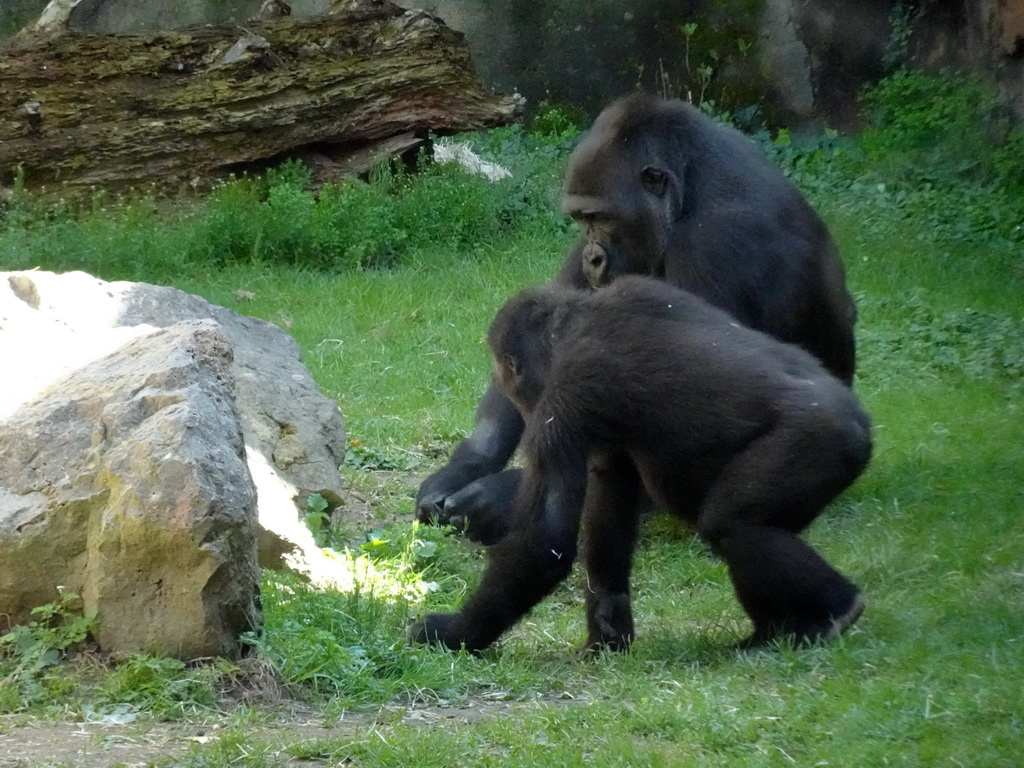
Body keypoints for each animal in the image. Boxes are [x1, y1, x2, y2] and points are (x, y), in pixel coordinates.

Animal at [409, 278, 872, 655]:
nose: (521, 407)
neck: (575, 324)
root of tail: (862, 424)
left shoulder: (567, 393)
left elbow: (543, 543)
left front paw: (453, 634)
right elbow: (610, 504)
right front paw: (607, 634)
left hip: (817, 444)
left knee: (735, 525)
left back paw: (830, 613)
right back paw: (771, 633)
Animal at [415, 93, 856, 544]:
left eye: (603, 217)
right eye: (582, 219)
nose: (594, 256)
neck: (692, 183)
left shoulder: (711, 242)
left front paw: (498, 496)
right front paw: (466, 466)